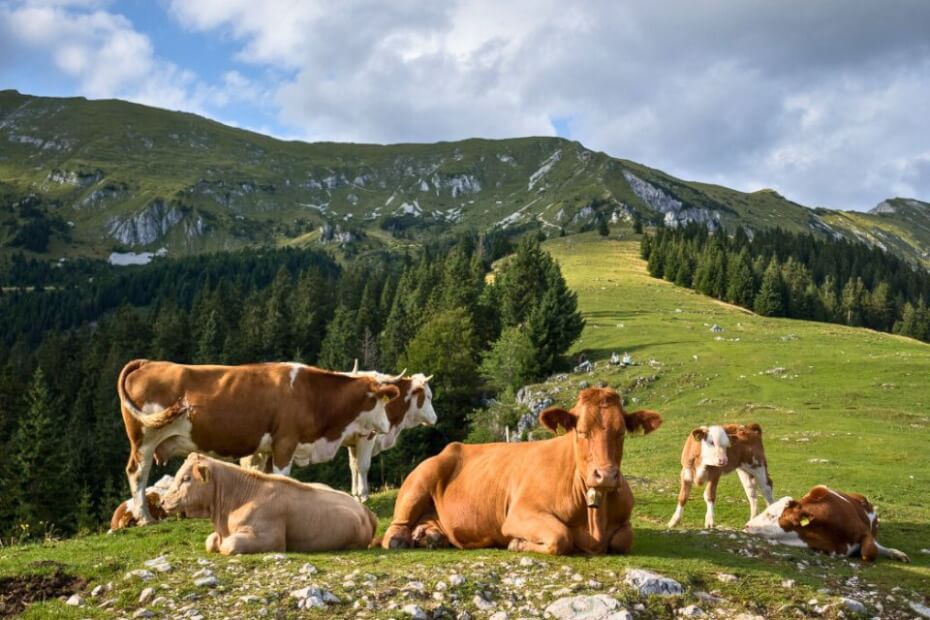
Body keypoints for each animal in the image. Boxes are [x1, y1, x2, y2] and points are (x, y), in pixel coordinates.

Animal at [118, 358, 396, 524]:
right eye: (379, 401)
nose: (386, 427)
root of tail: (148, 362)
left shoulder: (272, 448)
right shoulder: (285, 442)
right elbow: (283, 477)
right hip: (144, 439)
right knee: (136, 473)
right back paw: (145, 517)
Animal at [161, 452, 376, 556]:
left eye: (186, 478)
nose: (162, 501)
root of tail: (365, 510)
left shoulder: (270, 538)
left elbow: (229, 546)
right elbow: (210, 541)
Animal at [376, 388, 660, 556]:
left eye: (621, 432)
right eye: (581, 431)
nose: (606, 475)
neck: (594, 521)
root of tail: (450, 448)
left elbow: (624, 539)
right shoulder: (518, 515)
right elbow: (561, 536)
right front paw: (517, 543)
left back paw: (431, 537)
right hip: (421, 480)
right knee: (394, 531)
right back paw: (404, 539)